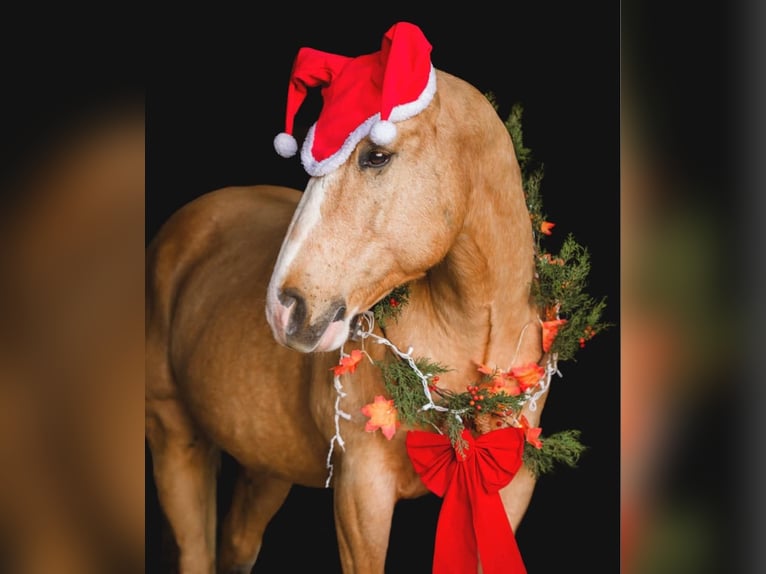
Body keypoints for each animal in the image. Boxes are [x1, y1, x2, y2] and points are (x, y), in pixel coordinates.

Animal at [146, 28, 544, 574]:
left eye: (375, 155)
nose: (283, 308)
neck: (471, 340)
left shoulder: (512, 489)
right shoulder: (363, 494)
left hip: (266, 466)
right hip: (175, 440)